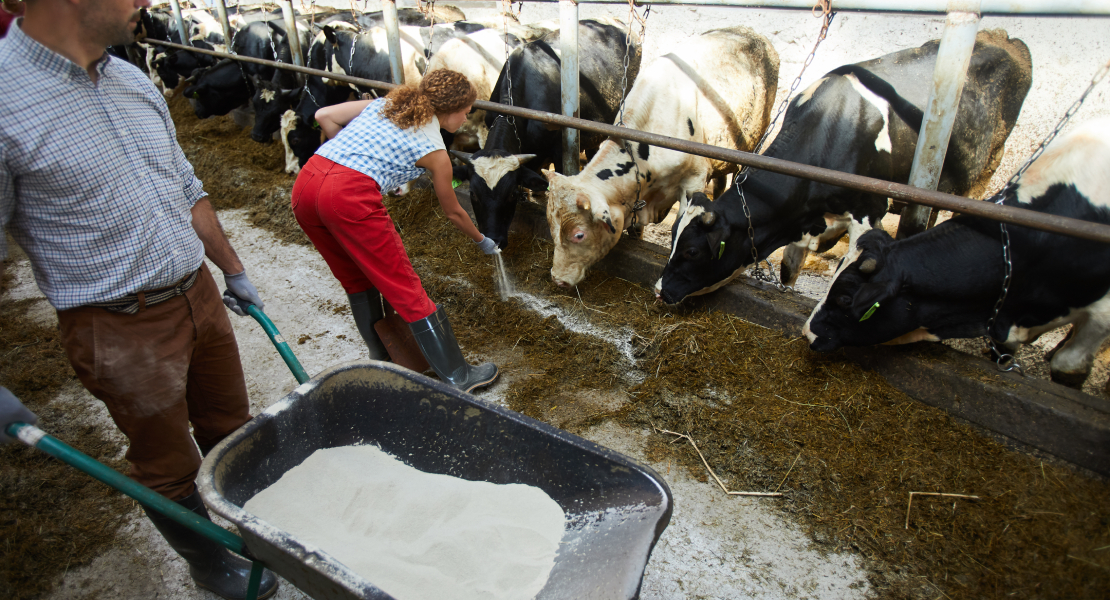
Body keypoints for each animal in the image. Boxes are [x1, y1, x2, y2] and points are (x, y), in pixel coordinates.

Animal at [657, 29, 1030, 303]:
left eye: (692, 250)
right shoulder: (805, 221)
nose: (659, 290)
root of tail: (1004, 36)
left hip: (986, 168)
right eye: (673, 237)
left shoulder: (869, 210)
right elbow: (789, 272)